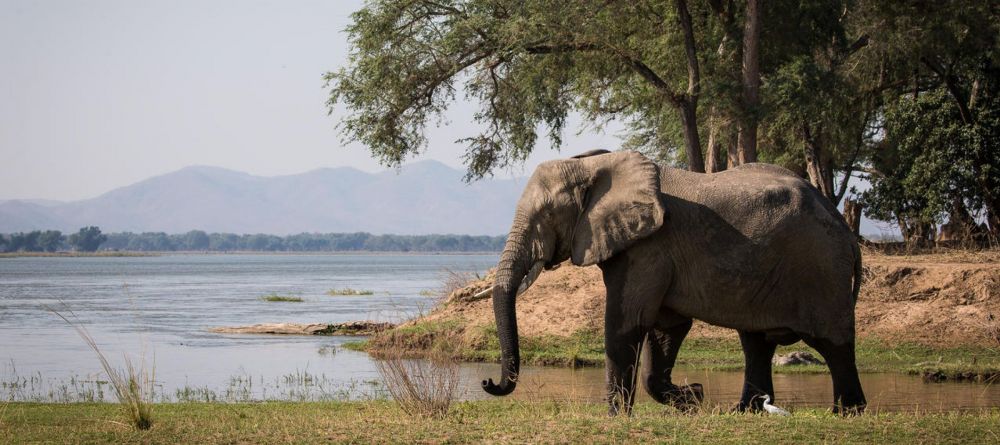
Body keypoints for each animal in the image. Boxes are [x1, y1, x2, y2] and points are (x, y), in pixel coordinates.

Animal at [480, 149, 864, 412]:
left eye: (546, 215)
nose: (486, 382)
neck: (595, 164)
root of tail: (842, 224)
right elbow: (667, 328)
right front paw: (692, 397)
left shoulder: (649, 247)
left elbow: (627, 324)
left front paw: (616, 417)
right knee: (756, 342)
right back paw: (745, 412)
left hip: (821, 268)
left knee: (833, 343)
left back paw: (846, 412)